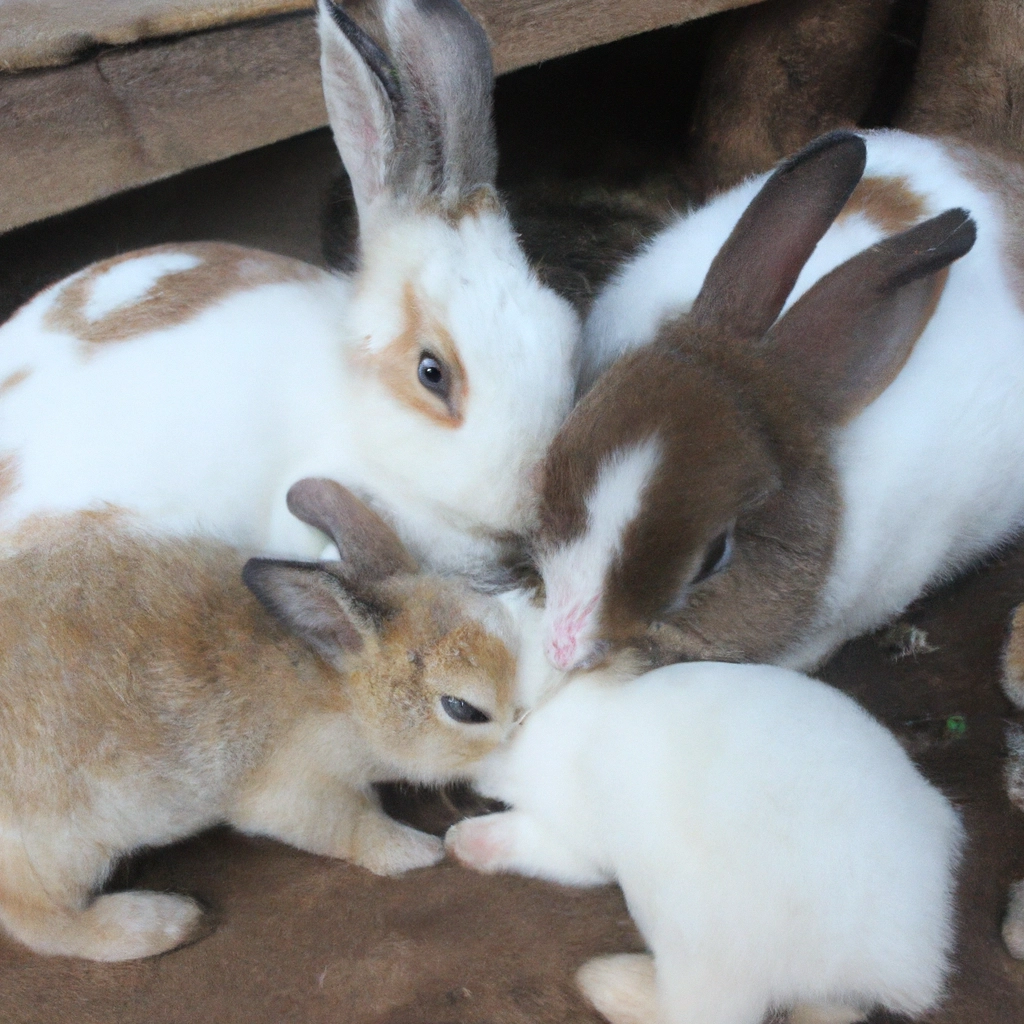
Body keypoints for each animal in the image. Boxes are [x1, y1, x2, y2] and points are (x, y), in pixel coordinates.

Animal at [0, 477, 520, 958]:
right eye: (463, 709)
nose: (520, 740)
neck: (343, 692)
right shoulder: (295, 790)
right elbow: (355, 828)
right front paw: (419, 851)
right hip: (62, 851)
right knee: (38, 920)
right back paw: (167, 921)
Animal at [444, 659, 962, 1024]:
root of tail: (900, 964)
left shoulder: (577, 837)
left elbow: (536, 842)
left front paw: (466, 842)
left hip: (692, 934)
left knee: (698, 1011)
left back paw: (604, 983)